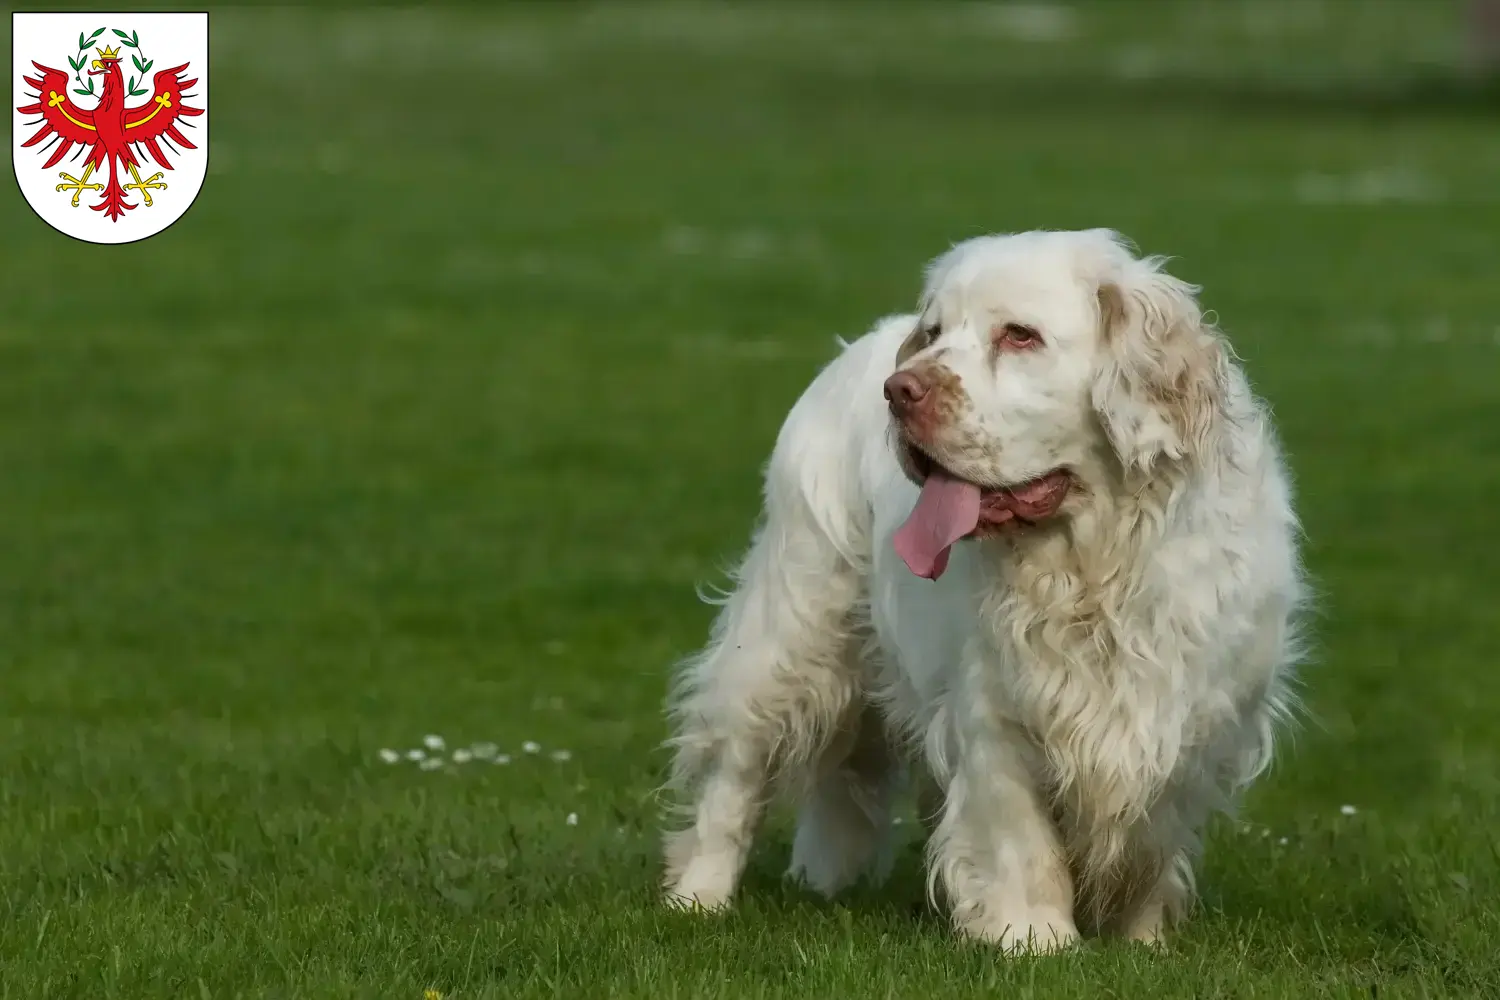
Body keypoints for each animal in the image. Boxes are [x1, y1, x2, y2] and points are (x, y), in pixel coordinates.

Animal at [663, 229, 1308, 953]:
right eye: (934, 333)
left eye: (1020, 336)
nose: (900, 390)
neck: (1091, 564)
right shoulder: (993, 706)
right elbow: (1016, 834)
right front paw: (1033, 937)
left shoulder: (1193, 715)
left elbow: (1152, 834)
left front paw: (1140, 938)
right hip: (791, 627)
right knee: (734, 769)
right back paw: (698, 896)